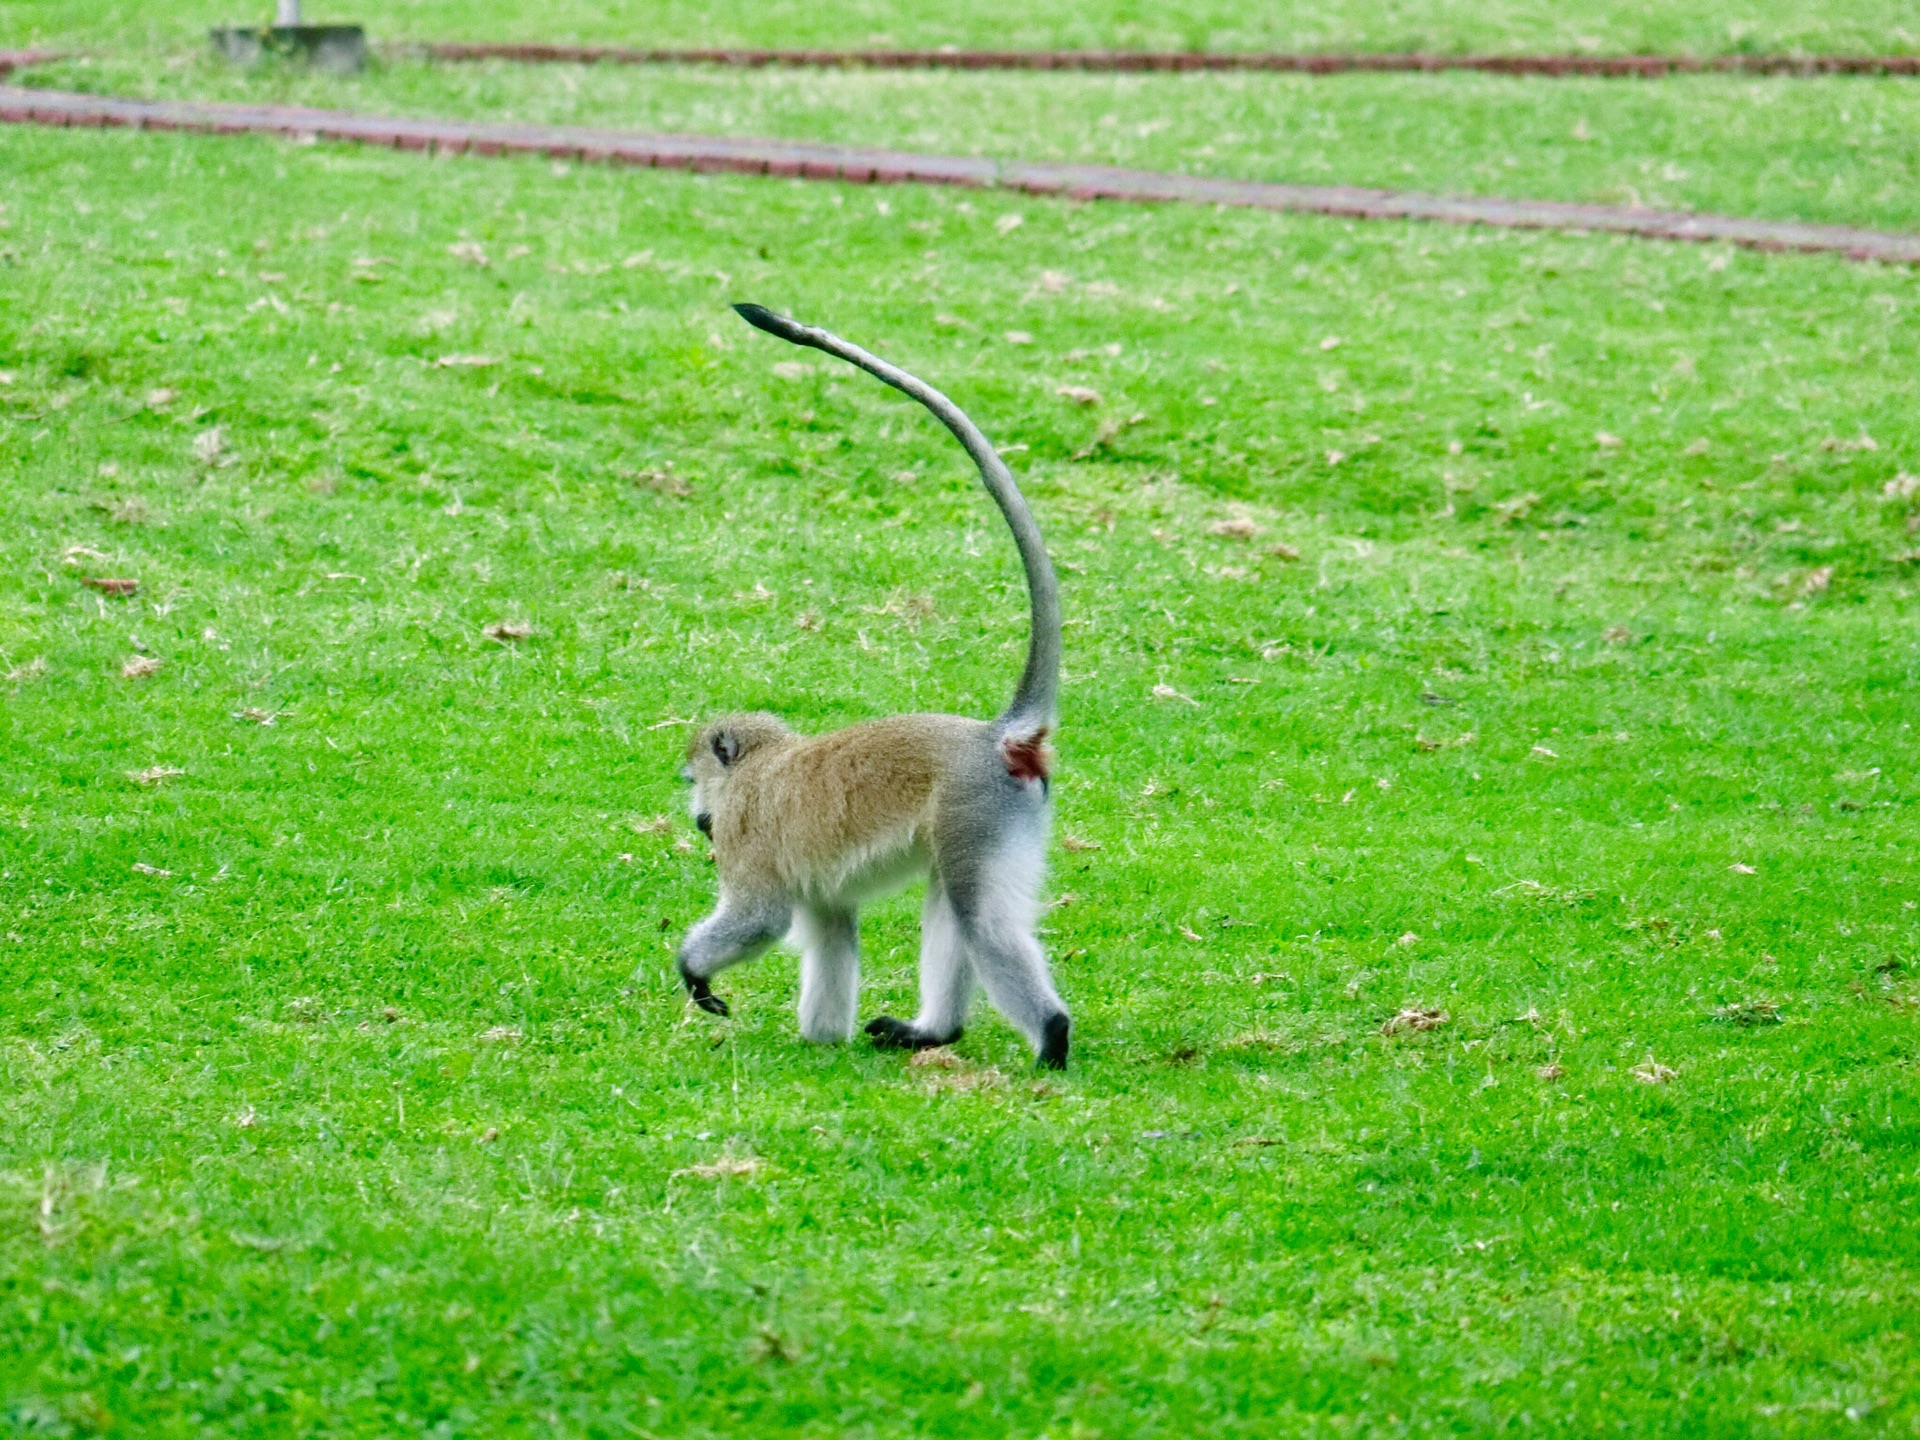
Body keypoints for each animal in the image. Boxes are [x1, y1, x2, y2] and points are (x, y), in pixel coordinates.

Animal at [675, 305, 1075, 1075]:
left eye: (693, 781)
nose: (696, 819)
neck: (761, 766)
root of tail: (998, 738)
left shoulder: (746, 832)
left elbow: (762, 917)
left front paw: (694, 969)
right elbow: (832, 924)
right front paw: (819, 1039)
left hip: (974, 808)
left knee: (978, 915)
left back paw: (1051, 1039)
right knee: (953, 902)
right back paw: (934, 1032)